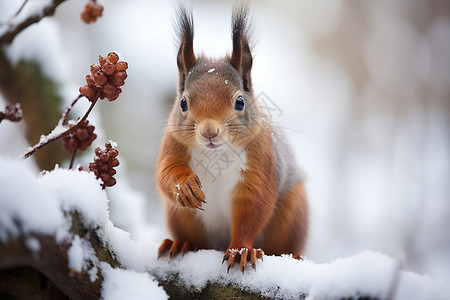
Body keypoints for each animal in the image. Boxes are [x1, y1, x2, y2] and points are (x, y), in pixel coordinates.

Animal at [156, 3, 308, 274]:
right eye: (183, 102)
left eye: (239, 102)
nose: (209, 131)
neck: (214, 153)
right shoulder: (173, 145)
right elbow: (165, 174)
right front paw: (185, 187)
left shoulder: (261, 161)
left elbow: (253, 208)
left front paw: (241, 250)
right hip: (180, 217)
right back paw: (180, 243)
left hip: (294, 208)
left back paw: (295, 256)